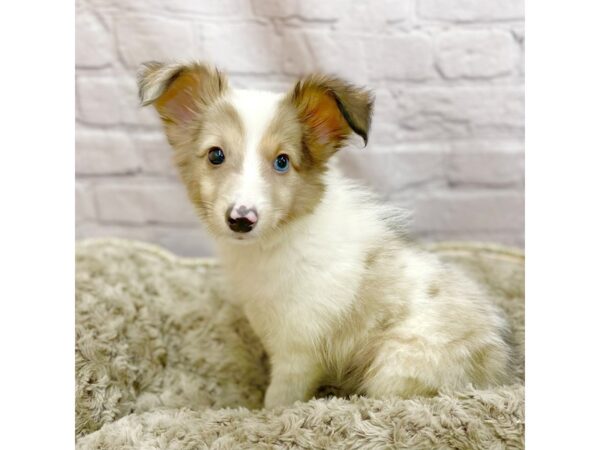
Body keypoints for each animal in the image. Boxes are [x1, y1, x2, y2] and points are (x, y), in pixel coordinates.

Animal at [137, 59, 510, 408]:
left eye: (282, 162)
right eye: (216, 155)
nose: (241, 220)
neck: (274, 244)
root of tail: (498, 371)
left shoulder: (297, 353)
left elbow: (276, 403)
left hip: (394, 369)